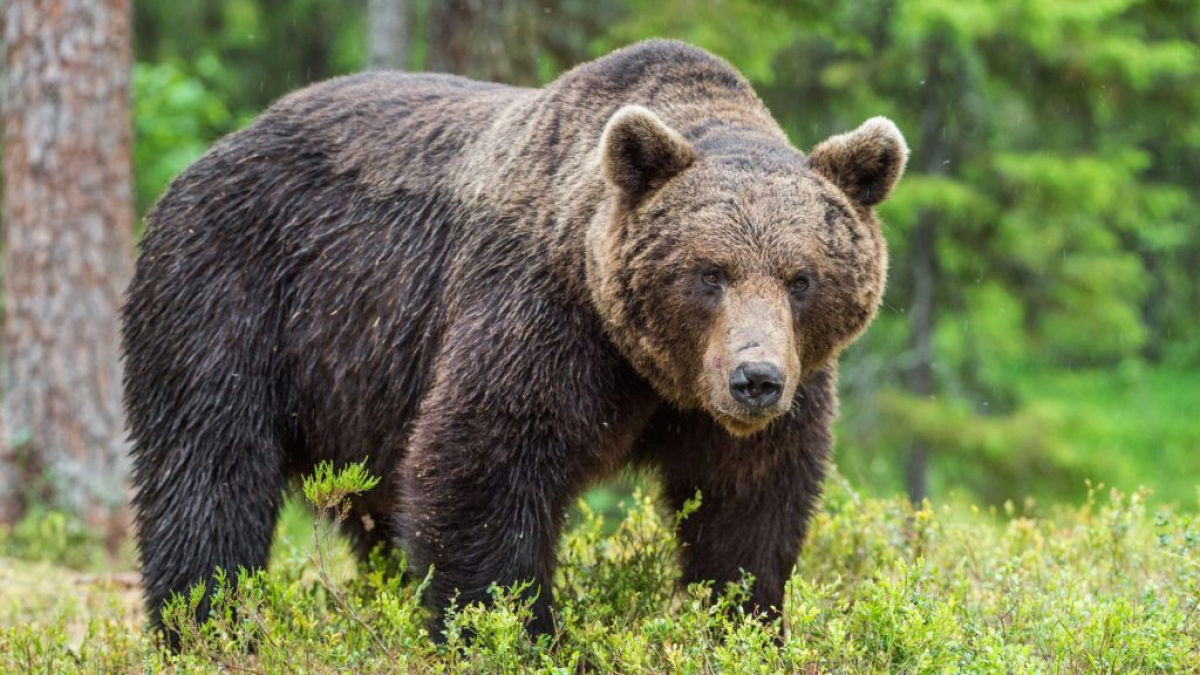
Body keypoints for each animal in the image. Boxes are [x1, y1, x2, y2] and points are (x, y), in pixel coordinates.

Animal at [124, 39, 907, 638]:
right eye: (709, 272)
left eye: (800, 278)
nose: (755, 380)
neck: (652, 369)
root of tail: (212, 152)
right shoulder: (543, 318)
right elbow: (482, 469)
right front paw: (517, 631)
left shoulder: (779, 391)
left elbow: (749, 508)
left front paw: (743, 620)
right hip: (234, 294)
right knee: (209, 473)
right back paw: (206, 625)